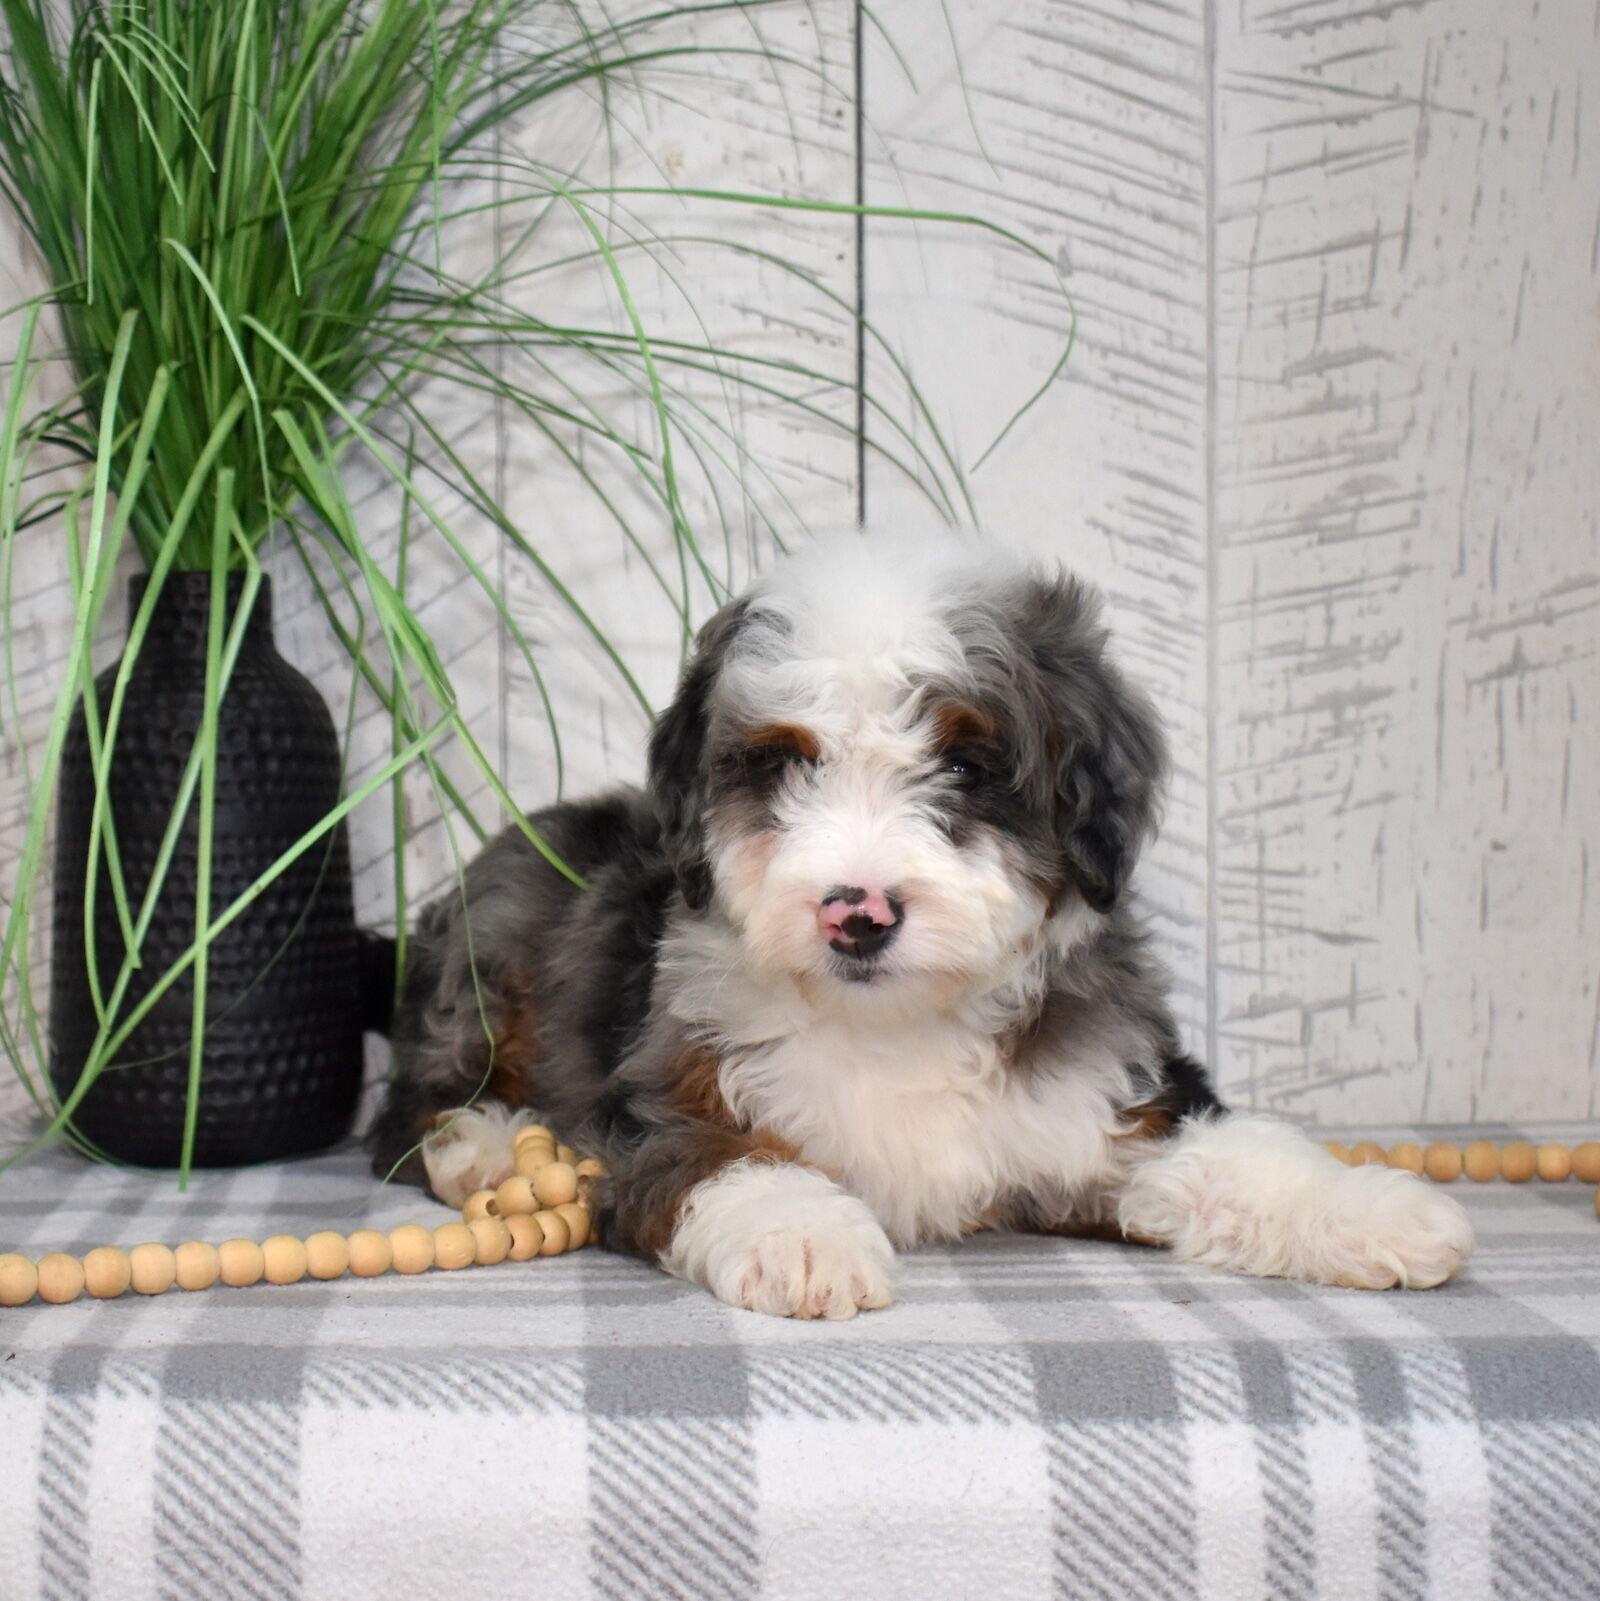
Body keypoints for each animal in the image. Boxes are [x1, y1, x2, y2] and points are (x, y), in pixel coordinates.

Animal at [368, 532, 1474, 1318]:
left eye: (967, 767)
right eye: (783, 764)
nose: (856, 910)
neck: (895, 1023)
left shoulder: (1108, 1103)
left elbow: (1227, 1149)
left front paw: (1366, 1208)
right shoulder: (654, 1103)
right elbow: (730, 1153)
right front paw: (799, 1233)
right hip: (496, 942)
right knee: (411, 1101)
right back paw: (484, 1145)